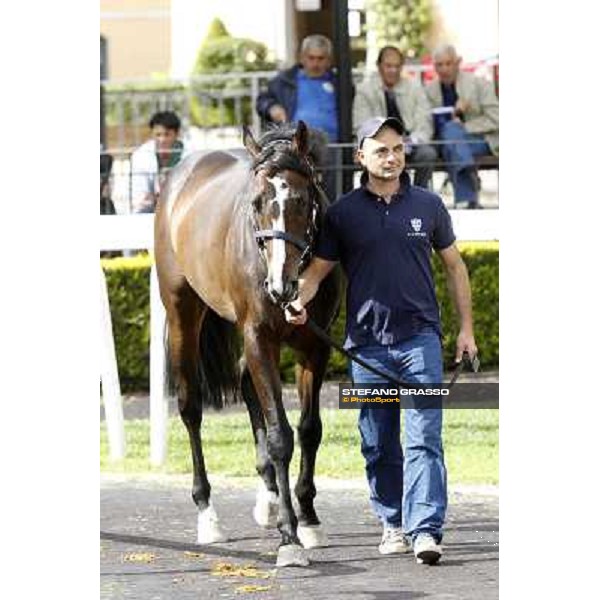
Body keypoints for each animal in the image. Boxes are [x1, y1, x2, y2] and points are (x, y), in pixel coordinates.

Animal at [154, 122, 342, 568]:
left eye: (302, 200)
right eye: (257, 203)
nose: (280, 285)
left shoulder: (316, 346)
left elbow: (309, 429)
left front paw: (309, 519)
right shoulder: (259, 337)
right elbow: (280, 436)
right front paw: (289, 536)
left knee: (245, 383)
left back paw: (269, 496)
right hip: (183, 313)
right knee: (191, 407)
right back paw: (208, 514)